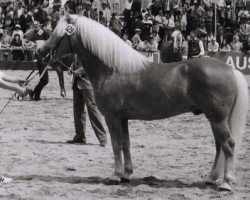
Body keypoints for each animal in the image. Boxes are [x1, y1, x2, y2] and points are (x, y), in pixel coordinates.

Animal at [37, 14, 248, 191]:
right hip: (214, 119)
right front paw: (126, 174)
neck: (112, 69)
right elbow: (126, 143)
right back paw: (211, 178)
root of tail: (230, 70)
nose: (40, 51)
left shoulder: (112, 117)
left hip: (217, 119)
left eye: (57, 33)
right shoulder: (123, 118)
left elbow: (116, 144)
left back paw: (226, 183)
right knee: (219, 146)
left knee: (228, 144)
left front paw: (115, 175)